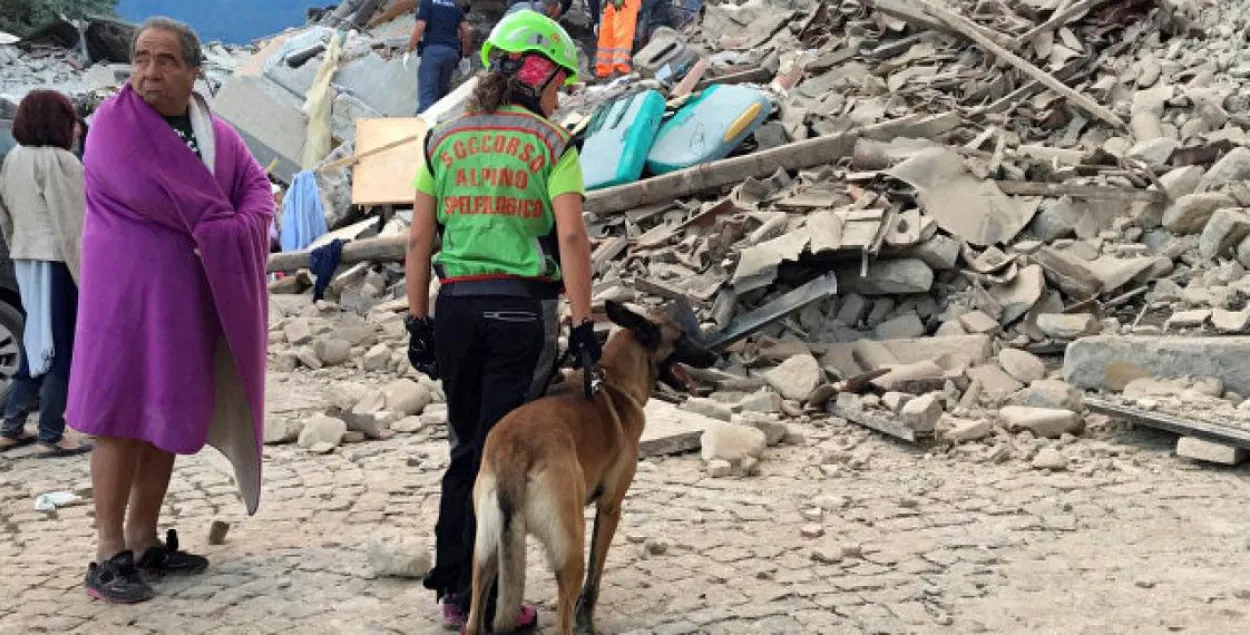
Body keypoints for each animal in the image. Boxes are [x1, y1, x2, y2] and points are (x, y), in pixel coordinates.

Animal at [462, 298, 720, 635]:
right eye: (682, 338)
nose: (715, 355)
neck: (613, 381)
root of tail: (514, 449)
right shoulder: (610, 507)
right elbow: (595, 577)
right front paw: (587, 621)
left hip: (485, 555)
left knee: (473, 618)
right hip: (570, 550)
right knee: (564, 618)